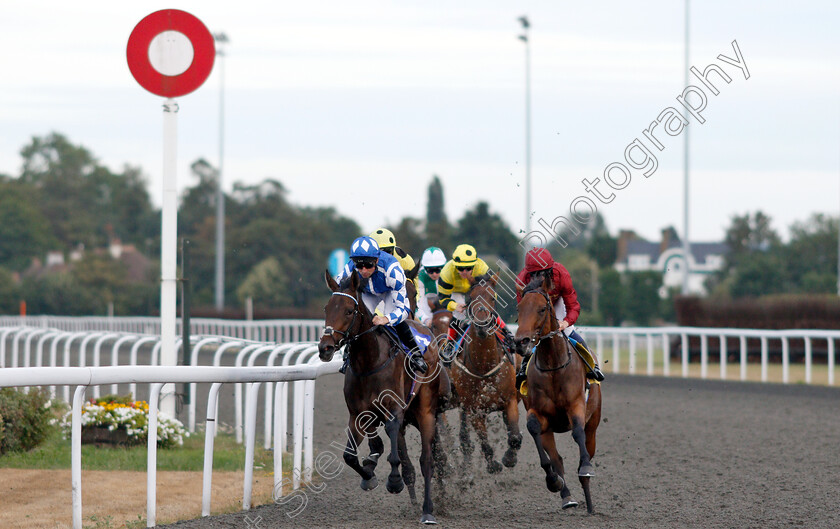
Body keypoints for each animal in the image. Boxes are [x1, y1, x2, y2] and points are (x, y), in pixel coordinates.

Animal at [316, 270, 446, 524]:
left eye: (349, 311)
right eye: (327, 308)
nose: (325, 348)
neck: (369, 361)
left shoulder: (394, 410)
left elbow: (395, 448)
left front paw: (394, 481)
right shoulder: (357, 414)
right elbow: (350, 456)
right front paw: (369, 475)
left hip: (426, 410)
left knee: (427, 460)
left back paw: (427, 509)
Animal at [450, 274, 520, 472]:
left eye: (493, 297)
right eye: (470, 298)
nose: (482, 324)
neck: (484, 364)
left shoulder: (510, 399)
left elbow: (514, 436)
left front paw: (509, 458)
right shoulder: (474, 409)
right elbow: (484, 441)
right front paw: (493, 464)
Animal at [516, 272, 600, 512]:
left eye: (542, 309)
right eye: (519, 308)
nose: (520, 341)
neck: (553, 366)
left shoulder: (576, 406)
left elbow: (578, 433)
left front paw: (586, 469)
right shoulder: (539, 414)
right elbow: (534, 431)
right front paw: (553, 481)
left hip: (594, 423)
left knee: (587, 447)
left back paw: (590, 503)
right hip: (550, 430)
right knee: (557, 459)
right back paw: (567, 497)